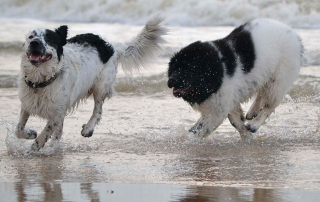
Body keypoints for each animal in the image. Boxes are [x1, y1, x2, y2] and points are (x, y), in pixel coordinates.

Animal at [16, 15, 168, 151]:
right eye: (31, 36)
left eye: (49, 39)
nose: (34, 43)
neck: (40, 80)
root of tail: (111, 47)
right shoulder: (27, 104)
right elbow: (18, 129)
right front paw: (30, 134)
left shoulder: (57, 113)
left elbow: (45, 133)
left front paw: (33, 148)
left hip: (101, 86)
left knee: (98, 110)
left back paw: (88, 128)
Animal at [168, 18, 302, 140]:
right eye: (173, 68)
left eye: (187, 69)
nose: (170, 81)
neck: (216, 69)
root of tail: (294, 34)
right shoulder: (227, 101)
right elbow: (236, 121)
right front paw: (246, 136)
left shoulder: (220, 106)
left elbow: (206, 128)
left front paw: (191, 140)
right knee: (261, 94)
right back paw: (252, 111)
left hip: (279, 78)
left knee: (270, 104)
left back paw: (254, 124)